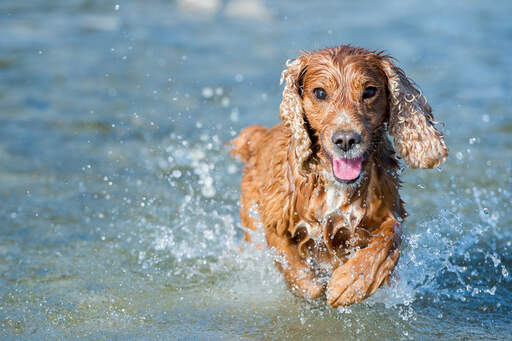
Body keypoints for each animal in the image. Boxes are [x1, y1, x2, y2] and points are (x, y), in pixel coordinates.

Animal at [230, 45, 446, 306]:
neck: (334, 185)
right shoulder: (276, 216)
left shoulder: (389, 211)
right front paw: (310, 285)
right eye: (320, 92)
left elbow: (389, 237)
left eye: (369, 91)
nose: (346, 139)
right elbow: (288, 256)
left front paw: (351, 282)